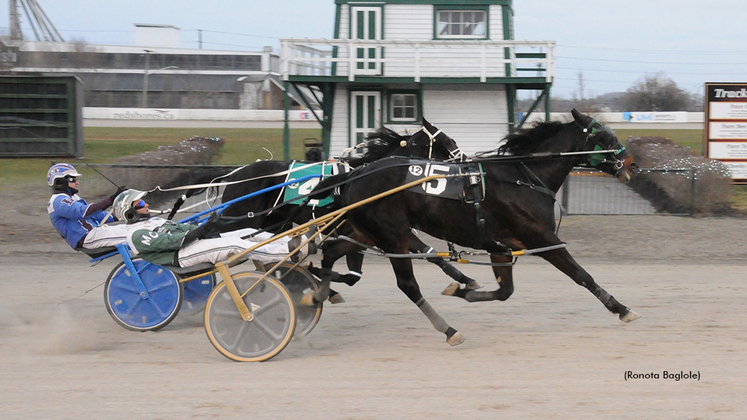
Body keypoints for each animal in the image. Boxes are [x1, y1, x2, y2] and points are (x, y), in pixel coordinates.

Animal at [306, 108, 640, 344]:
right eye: (605, 136)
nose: (631, 163)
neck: (524, 178)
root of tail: (352, 175)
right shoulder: (541, 239)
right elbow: (581, 275)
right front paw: (622, 309)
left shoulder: (501, 247)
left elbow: (505, 291)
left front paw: (462, 290)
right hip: (393, 236)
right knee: (407, 285)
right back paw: (448, 329)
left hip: (369, 232)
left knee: (331, 251)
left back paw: (317, 294)